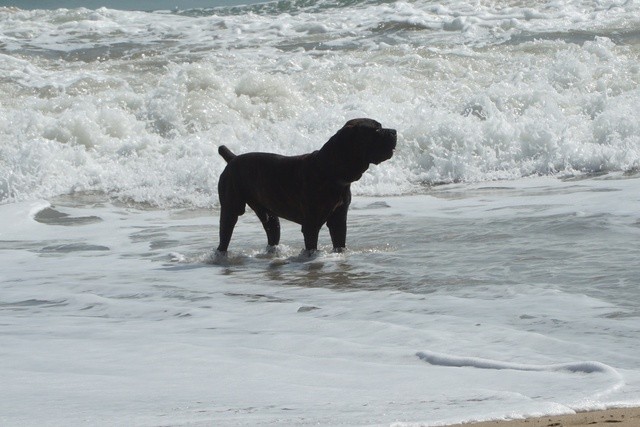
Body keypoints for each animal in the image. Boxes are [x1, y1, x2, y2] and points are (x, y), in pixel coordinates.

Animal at [216, 118, 396, 254]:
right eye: (376, 130)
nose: (394, 131)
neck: (330, 170)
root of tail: (233, 158)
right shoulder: (311, 225)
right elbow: (312, 246)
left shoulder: (338, 220)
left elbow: (339, 243)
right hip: (231, 209)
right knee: (225, 235)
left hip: (270, 216)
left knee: (272, 229)